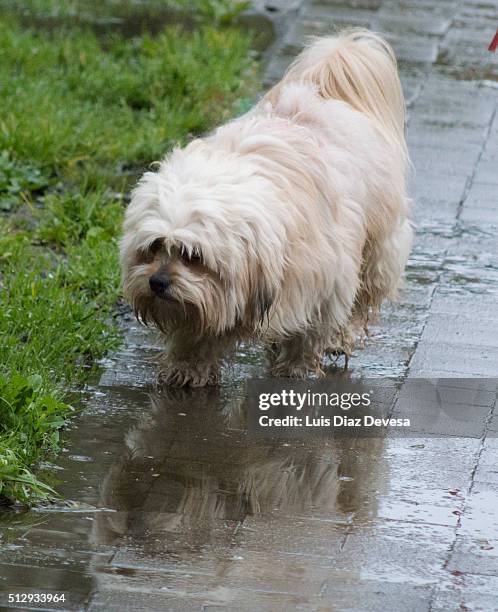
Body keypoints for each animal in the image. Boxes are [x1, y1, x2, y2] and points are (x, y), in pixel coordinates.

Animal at [120, 29, 412, 388]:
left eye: (193, 256)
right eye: (155, 246)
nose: (158, 282)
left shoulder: (323, 281)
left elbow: (310, 331)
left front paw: (296, 367)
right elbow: (194, 334)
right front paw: (187, 367)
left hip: (377, 251)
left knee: (362, 299)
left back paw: (339, 339)